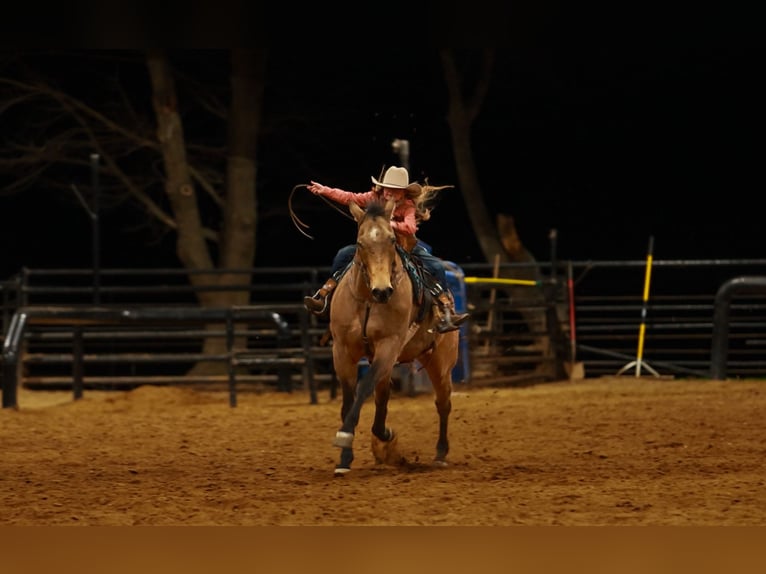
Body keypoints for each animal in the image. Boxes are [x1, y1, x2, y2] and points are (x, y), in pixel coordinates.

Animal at [328, 198, 459, 475]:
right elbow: (349, 401)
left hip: (440, 362)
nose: (382, 291)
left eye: (391, 240)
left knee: (443, 403)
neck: (367, 300)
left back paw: (440, 453)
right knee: (384, 395)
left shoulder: (388, 346)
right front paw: (345, 459)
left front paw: (350, 437)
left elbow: (364, 389)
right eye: (360, 243)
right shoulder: (342, 350)